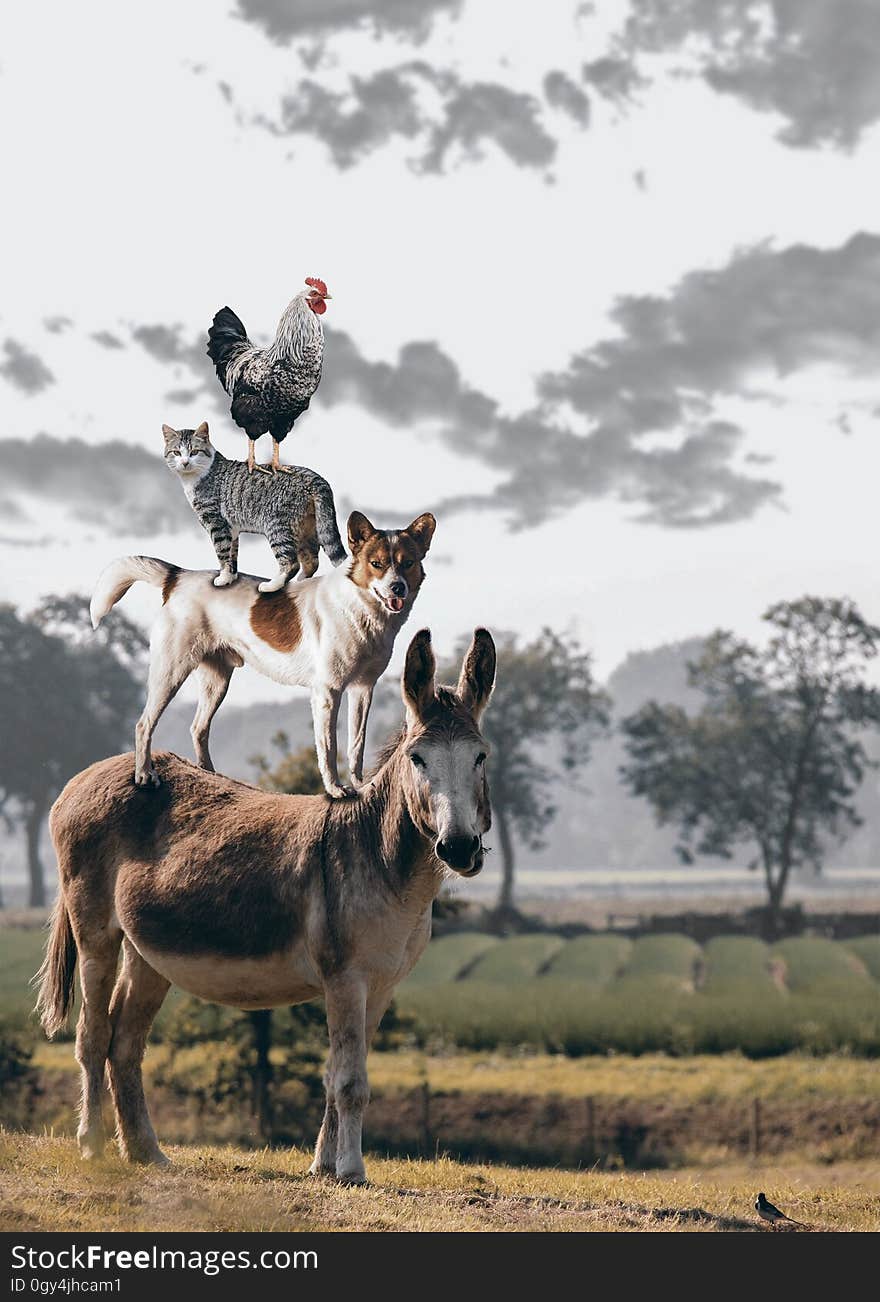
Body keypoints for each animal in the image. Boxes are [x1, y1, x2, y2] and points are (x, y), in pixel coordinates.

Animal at [91, 507, 437, 791]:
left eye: (407, 563)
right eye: (376, 564)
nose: (397, 588)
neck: (359, 606)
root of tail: (177, 578)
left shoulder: (363, 689)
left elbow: (356, 746)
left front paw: (361, 785)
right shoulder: (328, 692)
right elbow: (329, 747)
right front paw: (336, 790)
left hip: (216, 681)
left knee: (198, 727)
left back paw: (212, 776)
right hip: (171, 672)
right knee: (144, 724)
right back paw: (144, 774)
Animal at [163, 424, 346, 593]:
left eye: (194, 452)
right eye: (176, 453)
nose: (185, 462)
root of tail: (314, 478)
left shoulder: (216, 524)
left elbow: (222, 552)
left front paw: (223, 577)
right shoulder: (231, 528)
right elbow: (232, 554)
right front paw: (231, 577)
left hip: (277, 526)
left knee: (291, 562)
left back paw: (272, 585)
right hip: (306, 527)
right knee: (311, 560)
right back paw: (300, 583)